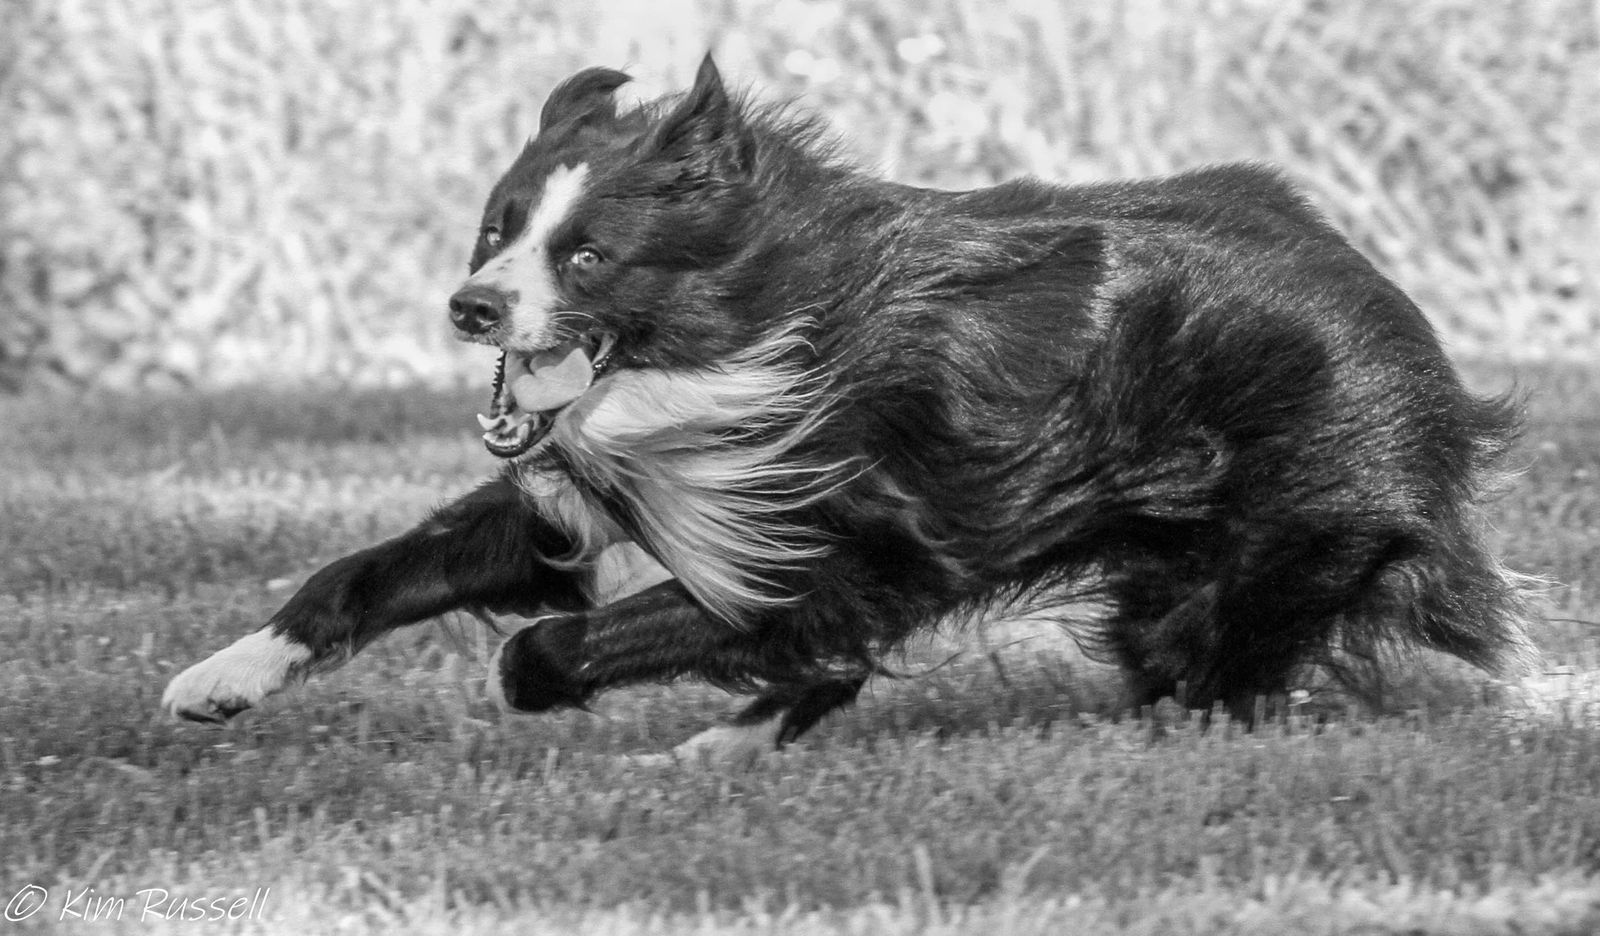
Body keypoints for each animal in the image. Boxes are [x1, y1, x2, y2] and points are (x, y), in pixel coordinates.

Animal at [164, 54, 1533, 754]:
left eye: (589, 256)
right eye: (496, 231)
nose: (471, 309)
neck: (729, 335)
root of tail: (1380, 293)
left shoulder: (836, 534)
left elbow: (568, 639)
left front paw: (562, 684)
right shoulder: (585, 495)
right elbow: (374, 571)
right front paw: (219, 678)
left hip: (1280, 525)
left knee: (1219, 666)